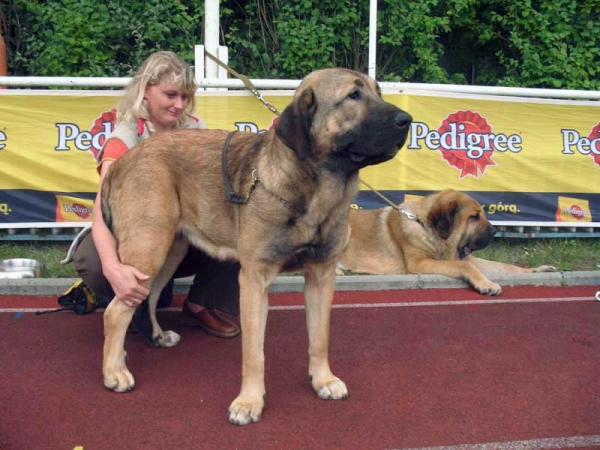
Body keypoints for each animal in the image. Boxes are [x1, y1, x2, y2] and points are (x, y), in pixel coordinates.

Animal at [102, 69, 412, 426]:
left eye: (378, 93)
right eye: (353, 96)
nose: (407, 120)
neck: (314, 191)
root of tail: (122, 161)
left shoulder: (321, 277)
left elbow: (319, 338)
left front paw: (322, 379)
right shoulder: (253, 281)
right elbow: (254, 353)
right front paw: (249, 401)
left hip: (168, 252)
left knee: (148, 297)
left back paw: (156, 336)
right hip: (149, 248)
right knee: (115, 311)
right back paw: (114, 372)